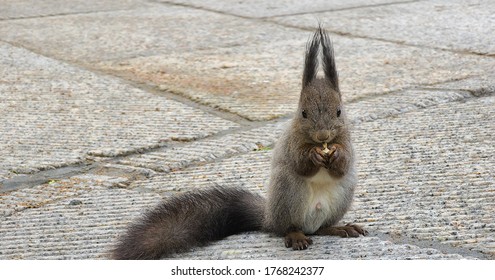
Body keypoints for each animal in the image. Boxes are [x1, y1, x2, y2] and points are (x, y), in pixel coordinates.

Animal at [112, 26, 368, 260]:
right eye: (303, 113)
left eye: (339, 111)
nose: (323, 136)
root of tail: (268, 218)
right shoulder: (291, 143)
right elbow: (299, 163)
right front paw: (313, 156)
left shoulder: (347, 141)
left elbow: (343, 165)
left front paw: (336, 155)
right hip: (288, 192)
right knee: (289, 228)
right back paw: (295, 235)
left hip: (342, 195)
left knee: (321, 228)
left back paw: (339, 228)